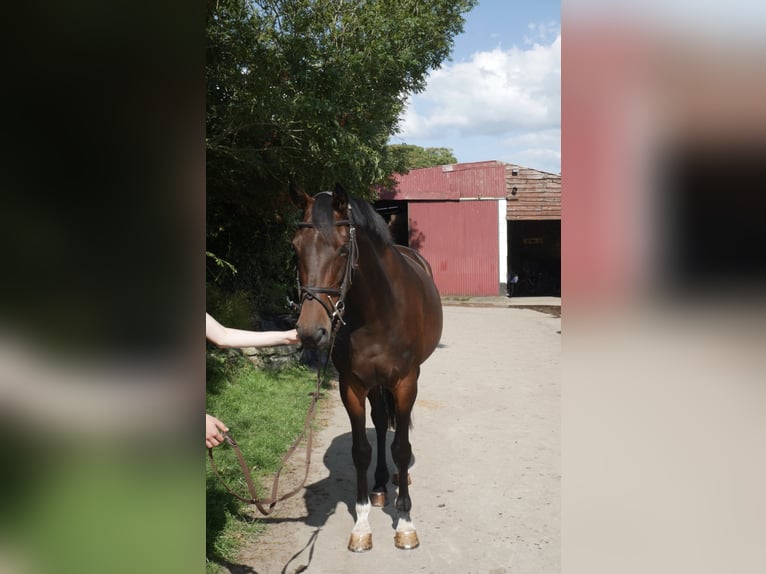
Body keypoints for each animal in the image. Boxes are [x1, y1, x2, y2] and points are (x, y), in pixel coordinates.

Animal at [290, 183, 443, 552]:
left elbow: (401, 447)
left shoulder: (406, 383)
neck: (378, 312)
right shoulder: (353, 385)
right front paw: (361, 525)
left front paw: (405, 523)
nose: (311, 332)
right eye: (295, 248)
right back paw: (380, 487)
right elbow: (361, 450)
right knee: (380, 422)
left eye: (343, 248)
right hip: (374, 384)